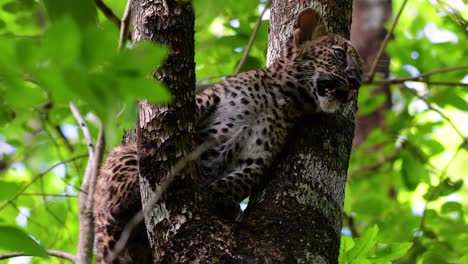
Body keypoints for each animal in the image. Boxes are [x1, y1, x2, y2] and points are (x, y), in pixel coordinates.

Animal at [93, 8, 364, 264]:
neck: (282, 98)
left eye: (360, 71)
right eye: (339, 54)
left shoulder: (258, 158)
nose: (356, 80)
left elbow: (238, 181)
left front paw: (221, 199)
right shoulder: (204, 101)